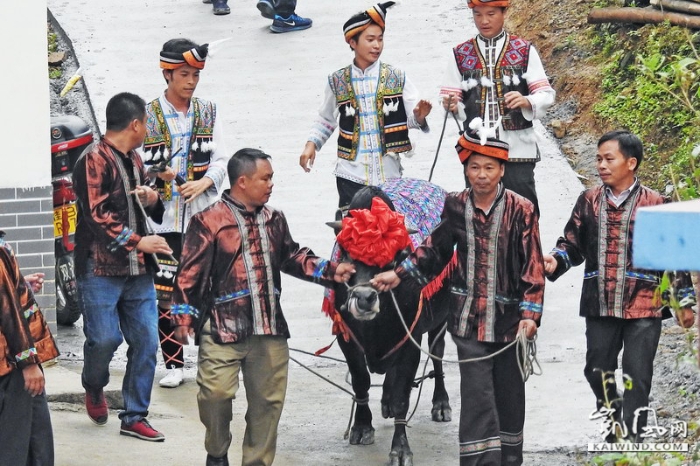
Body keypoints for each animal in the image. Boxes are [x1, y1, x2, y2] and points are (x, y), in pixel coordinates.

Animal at [324, 178, 454, 466]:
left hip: (441, 321)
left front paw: (401, 449)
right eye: (346, 252)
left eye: (393, 257)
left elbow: (403, 395)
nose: (364, 298)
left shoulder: (410, 341)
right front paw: (362, 427)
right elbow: (361, 380)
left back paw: (441, 404)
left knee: (437, 357)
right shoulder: (346, 339)